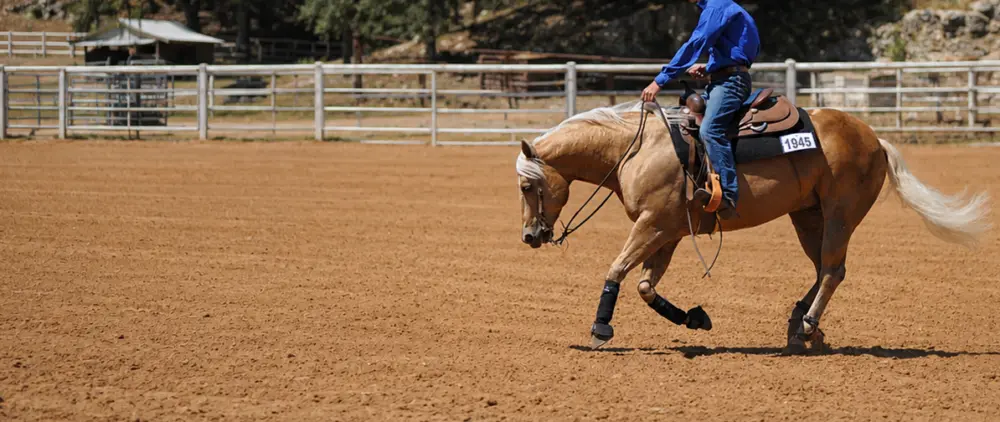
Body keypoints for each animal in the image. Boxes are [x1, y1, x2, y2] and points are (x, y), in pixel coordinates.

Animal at [515, 99, 991, 354]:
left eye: (526, 185)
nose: (530, 236)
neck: (637, 148)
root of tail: (874, 138)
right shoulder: (668, 231)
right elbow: (647, 287)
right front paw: (694, 319)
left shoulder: (653, 225)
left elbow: (616, 269)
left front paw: (600, 330)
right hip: (808, 216)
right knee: (823, 270)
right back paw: (802, 328)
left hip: (840, 214)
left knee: (833, 270)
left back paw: (805, 327)